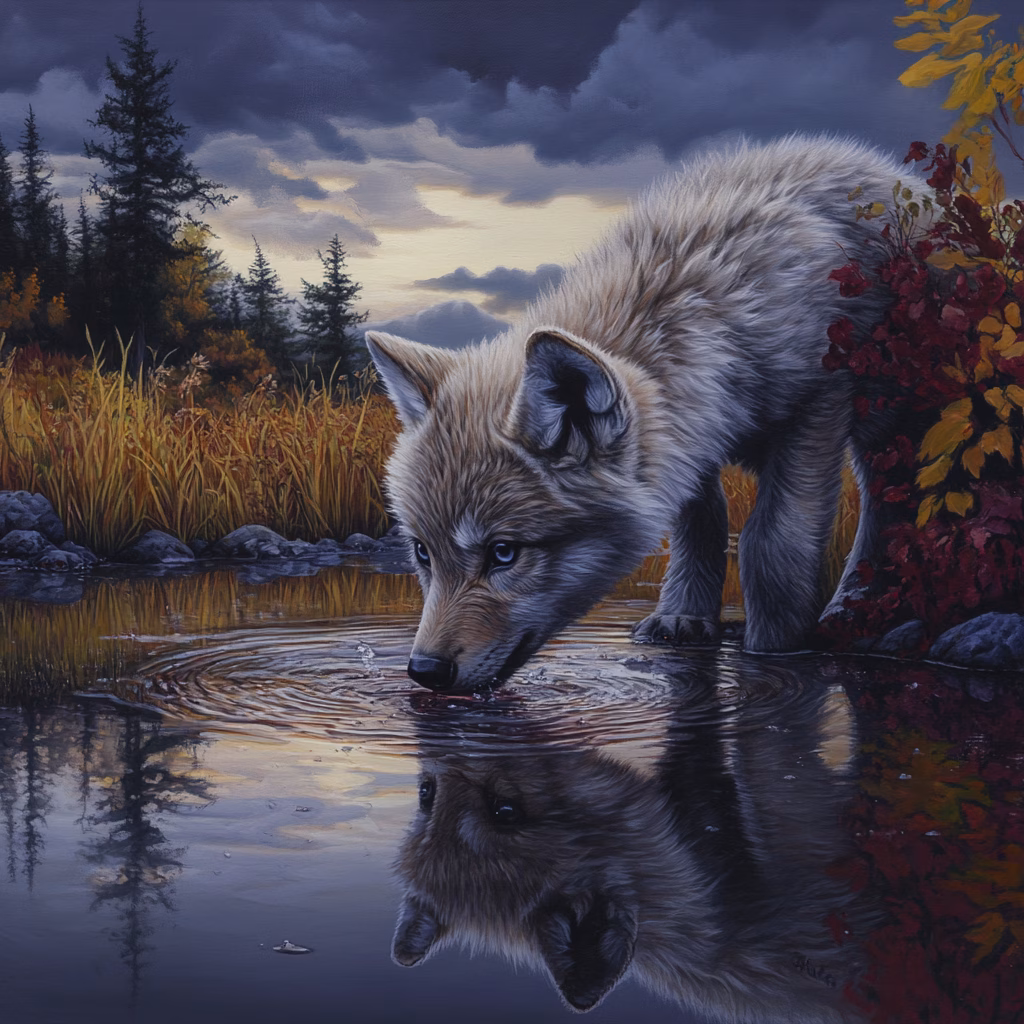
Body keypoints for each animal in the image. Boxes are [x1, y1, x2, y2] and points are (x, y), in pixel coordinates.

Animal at [367, 135, 914, 692]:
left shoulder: (816, 409)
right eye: (422, 553)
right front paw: (682, 617)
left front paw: (773, 648)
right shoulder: (692, 441)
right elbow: (703, 529)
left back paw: (853, 607)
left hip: (891, 431)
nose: (424, 671)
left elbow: (770, 547)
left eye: (503, 552)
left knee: (888, 507)